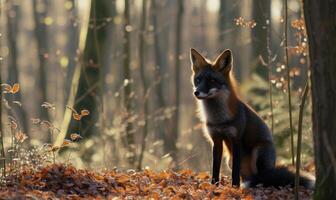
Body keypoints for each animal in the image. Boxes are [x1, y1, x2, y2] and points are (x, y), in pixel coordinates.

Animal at [190, 47, 314, 188]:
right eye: (198, 80)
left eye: (212, 80)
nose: (196, 92)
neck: (219, 120)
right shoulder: (216, 140)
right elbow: (215, 169)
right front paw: (214, 186)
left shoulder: (236, 140)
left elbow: (235, 172)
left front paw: (235, 188)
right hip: (229, 160)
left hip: (259, 151)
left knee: (263, 178)